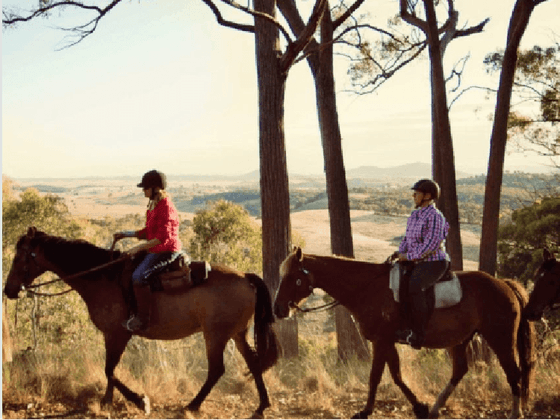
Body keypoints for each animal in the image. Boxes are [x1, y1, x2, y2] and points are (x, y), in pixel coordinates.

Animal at [4, 228, 280, 418]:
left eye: (19, 258)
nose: (9, 290)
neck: (104, 276)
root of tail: (246, 277)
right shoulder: (111, 335)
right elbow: (110, 369)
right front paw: (106, 401)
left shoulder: (118, 334)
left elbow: (110, 369)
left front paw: (139, 401)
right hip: (238, 333)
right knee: (253, 363)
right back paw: (262, 406)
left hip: (216, 335)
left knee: (216, 370)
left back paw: (192, 405)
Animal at [274, 248, 536, 420]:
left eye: (293, 278)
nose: (278, 309)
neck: (369, 288)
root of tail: (504, 284)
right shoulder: (387, 342)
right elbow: (397, 375)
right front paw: (419, 407)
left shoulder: (381, 341)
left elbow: (376, 377)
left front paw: (365, 412)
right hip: (461, 340)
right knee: (460, 370)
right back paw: (435, 409)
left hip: (500, 338)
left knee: (514, 372)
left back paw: (516, 413)